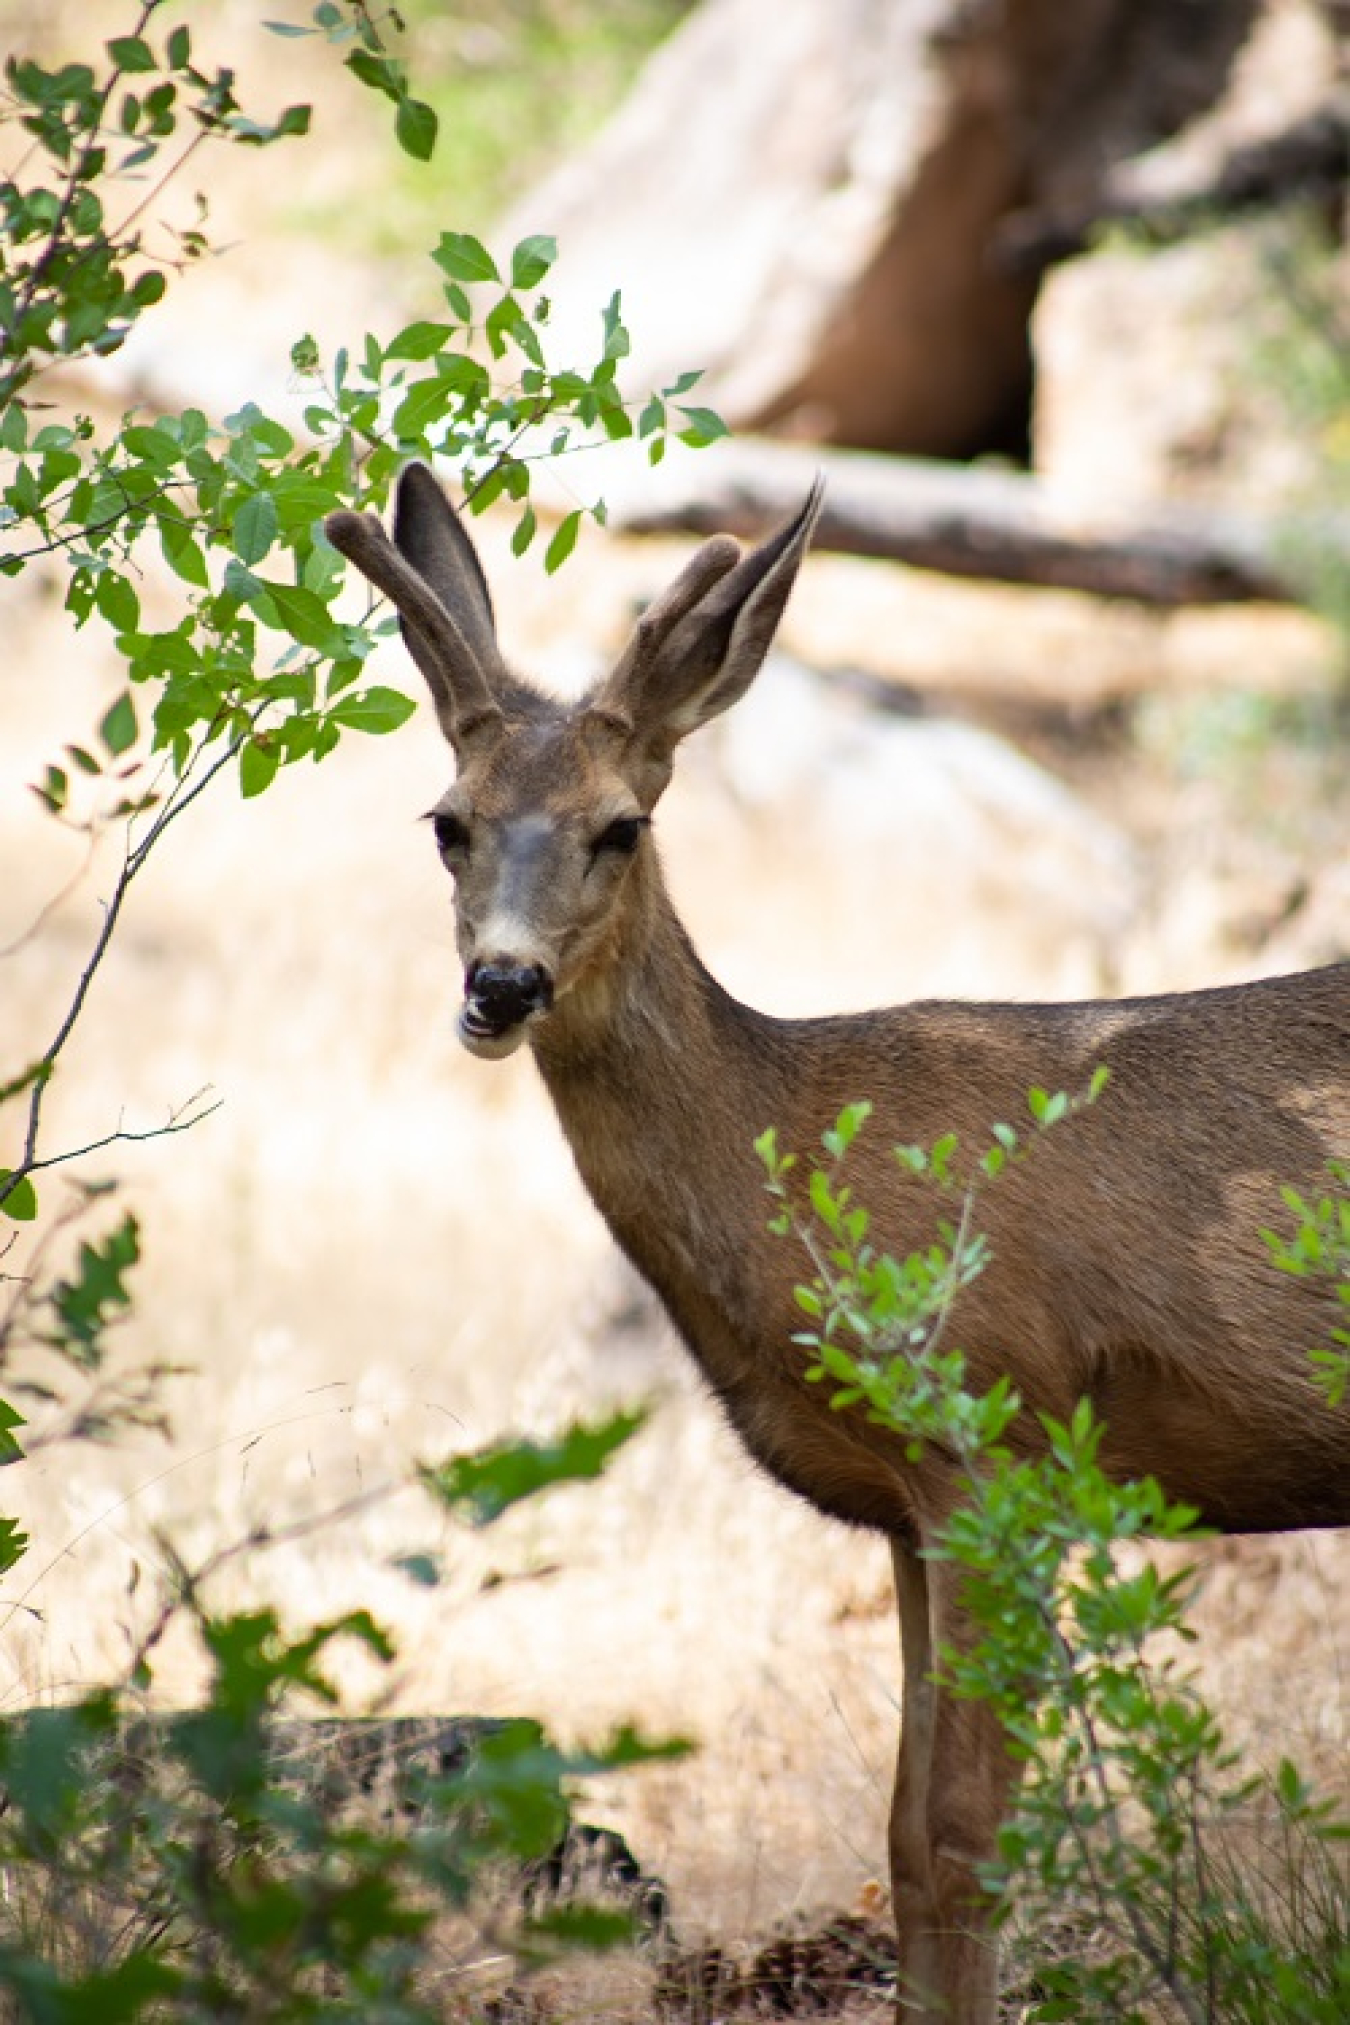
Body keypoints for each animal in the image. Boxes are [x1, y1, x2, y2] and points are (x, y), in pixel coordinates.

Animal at [327, 469, 1350, 2025]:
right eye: (445, 821)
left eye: (620, 827)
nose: (500, 984)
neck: (798, 1152)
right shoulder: (906, 1503)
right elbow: (904, 1838)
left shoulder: (998, 1428)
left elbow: (966, 1835)